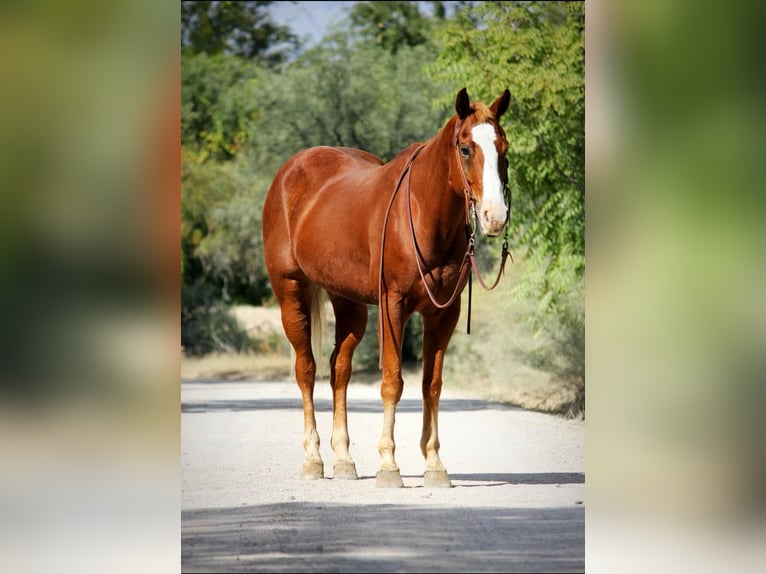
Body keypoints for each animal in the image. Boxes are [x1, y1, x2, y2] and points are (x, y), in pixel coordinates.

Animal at [262, 87, 511, 488]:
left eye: (503, 148)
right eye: (465, 148)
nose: (495, 217)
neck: (424, 216)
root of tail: (290, 170)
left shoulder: (444, 313)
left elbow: (431, 384)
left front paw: (434, 464)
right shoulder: (393, 306)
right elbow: (392, 381)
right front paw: (389, 465)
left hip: (349, 304)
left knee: (339, 370)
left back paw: (344, 460)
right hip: (291, 294)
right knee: (307, 369)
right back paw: (313, 459)